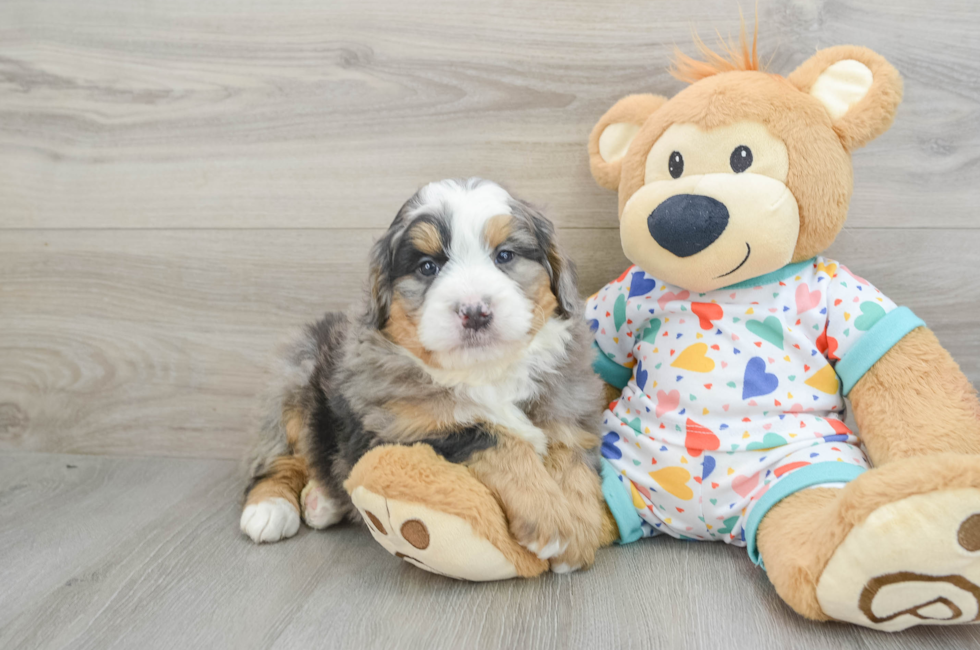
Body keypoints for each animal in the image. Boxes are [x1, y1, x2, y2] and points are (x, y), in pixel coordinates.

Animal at [242, 176, 608, 568]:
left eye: (505, 256)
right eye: (428, 267)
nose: (474, 312)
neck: (486, 372)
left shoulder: (569, 409)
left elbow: (573, 461)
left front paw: (581, 526)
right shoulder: (399, 429)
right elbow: (496, 437)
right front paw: (553, 521)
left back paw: (322, 502)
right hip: (293, 382)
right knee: (278, 459)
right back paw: (270, 508)